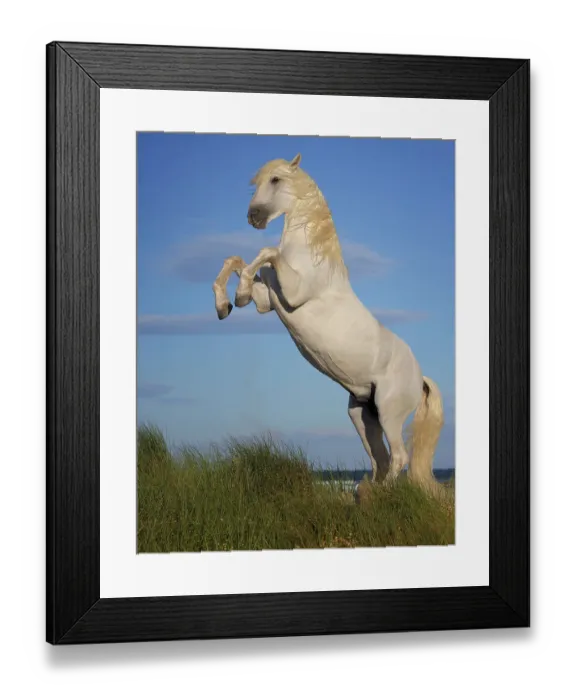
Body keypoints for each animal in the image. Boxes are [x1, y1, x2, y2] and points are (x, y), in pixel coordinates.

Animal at [212, 154, 444, 493]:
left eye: (276, 180)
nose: (253, 217)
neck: (310, 260)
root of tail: (420, 376)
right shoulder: (268, 300)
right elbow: (236, 261)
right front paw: (224, 305)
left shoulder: (293, 294)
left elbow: (266, 253)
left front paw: (236, 294)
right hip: (362, 415)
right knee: (380, 458)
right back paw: (368, 491)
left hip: (389, 411)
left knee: (399, 457)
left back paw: (385, 494)